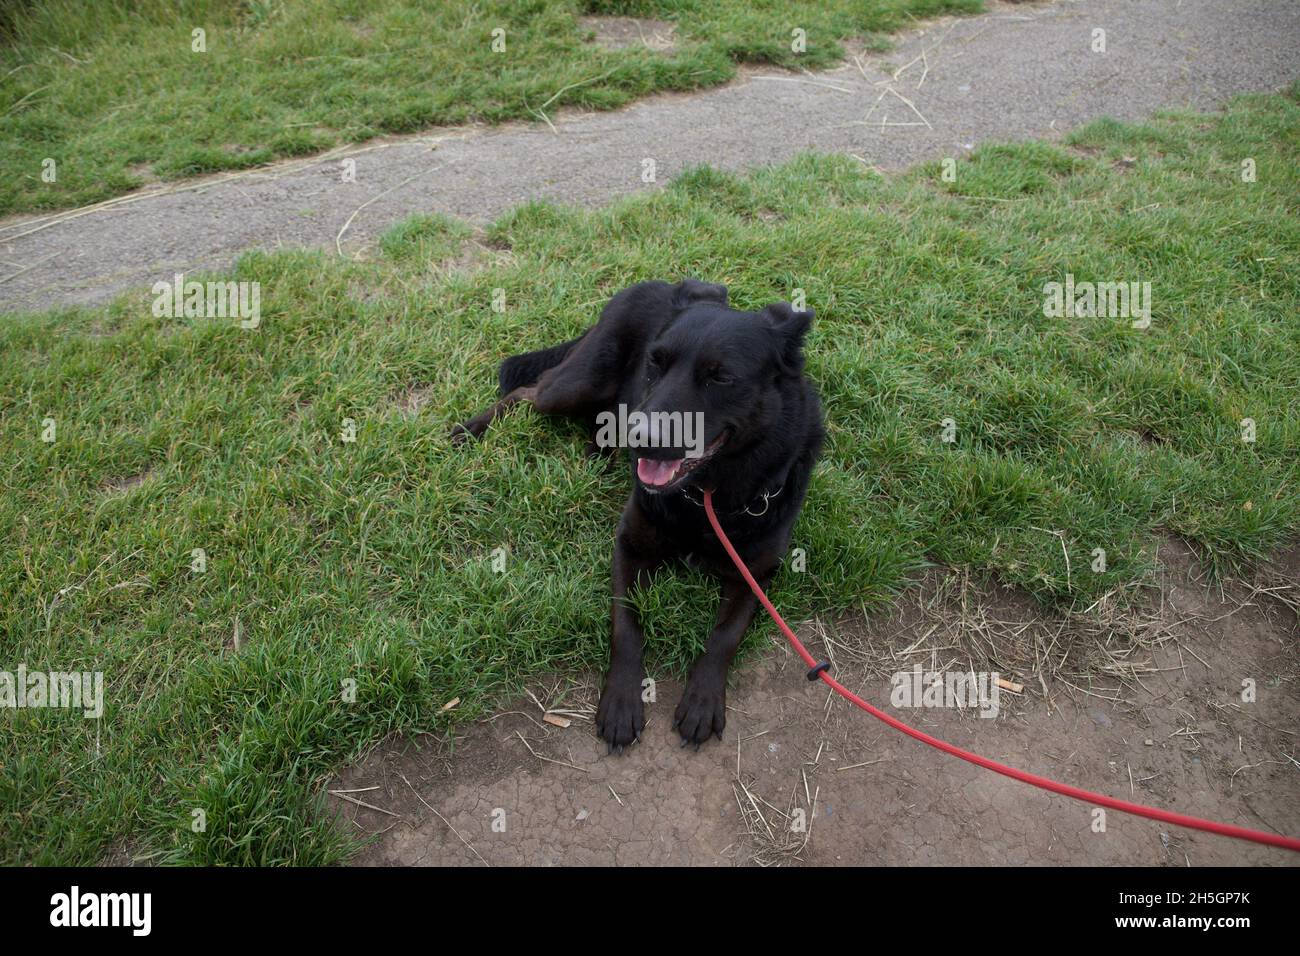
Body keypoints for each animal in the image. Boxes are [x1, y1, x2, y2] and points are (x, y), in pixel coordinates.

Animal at [454, 280, 821, 749]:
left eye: (720, 376)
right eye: (655, 362)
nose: (639, 437)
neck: (704, 496)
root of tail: (658, 283)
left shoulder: (755, 574)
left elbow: (724, 636)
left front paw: (703, 700)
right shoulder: (628, 545)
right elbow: (626, 625)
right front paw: (622, 700)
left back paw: (598, 453)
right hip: (575, 386)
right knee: (527, 393)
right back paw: (469, 431)